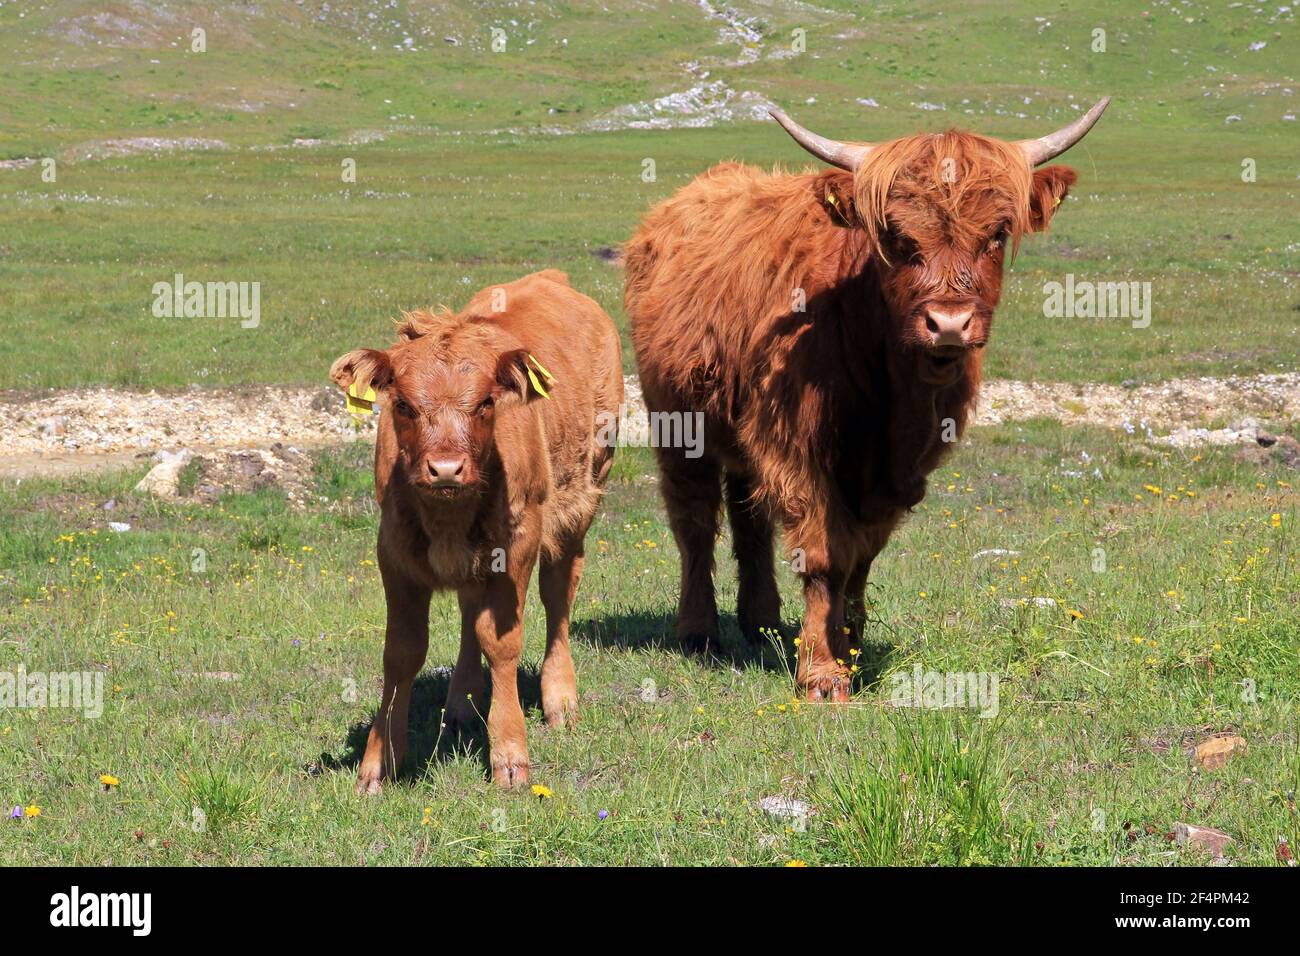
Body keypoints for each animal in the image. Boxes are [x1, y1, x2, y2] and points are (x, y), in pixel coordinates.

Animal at [331, 270, 623, 790]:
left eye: (486, 402)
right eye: (403, 404)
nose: (446, 468)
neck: (447, 517)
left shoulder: (519, 543)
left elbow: (501, 642)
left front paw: (509, 754)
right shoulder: (394, 551)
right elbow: (401, 652)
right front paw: (378, 762)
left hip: (580, 500)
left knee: (558, 596)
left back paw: (560, 698)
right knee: (471, 609)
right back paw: (463, 702)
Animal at [623, 98, 1109, 700]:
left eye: (997, 234)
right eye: (897, 238)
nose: (949, 324)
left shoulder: (898, 470)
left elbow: (861, 555)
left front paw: (850, 645)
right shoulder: (796, 446)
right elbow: (824, 554)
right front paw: (821, 672)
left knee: (747, 516)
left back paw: (761, 622)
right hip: (677, 421)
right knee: (694, 520)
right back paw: (698, 631)